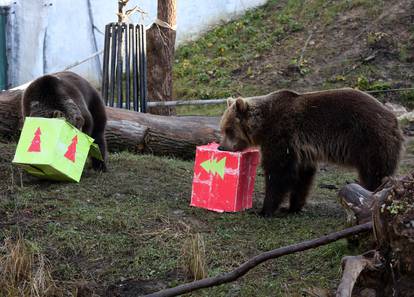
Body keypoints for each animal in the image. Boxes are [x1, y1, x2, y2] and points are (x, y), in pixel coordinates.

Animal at [220, 87, 404, 215]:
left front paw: (265, 210)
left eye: (229, 130)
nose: (221, 147)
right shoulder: (301, 149)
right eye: (223, 129)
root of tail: (393, 118)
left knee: (374, 172)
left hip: (370, 139)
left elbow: (278, 172)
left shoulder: (281, 135)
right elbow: (303, 176)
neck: (263, 124)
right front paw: (292, 207)